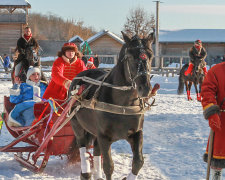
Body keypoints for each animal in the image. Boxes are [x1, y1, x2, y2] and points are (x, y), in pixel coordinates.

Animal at [69, 31, 155, 179]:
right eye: (130, 56)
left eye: (150, 56)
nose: (145, 88)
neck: (123, 105)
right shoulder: (104, 136)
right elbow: (108, 167)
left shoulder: (136, 133)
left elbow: (138, 162)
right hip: (77, 124)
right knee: (82, 146)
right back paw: (86, 173)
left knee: (96, 151)